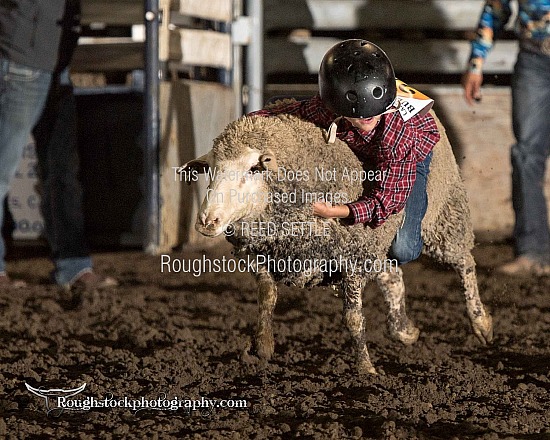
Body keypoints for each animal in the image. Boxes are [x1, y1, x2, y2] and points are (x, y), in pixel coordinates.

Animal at [181, 111, 496, 374]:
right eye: (211, 169)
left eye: (253, 169)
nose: (206, 222)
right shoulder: (261, 254)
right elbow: (267, 298)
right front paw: (263, 346)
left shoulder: (352, 256)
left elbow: (353, 318)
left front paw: (366, 369)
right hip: (381, 240)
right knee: (392, 275)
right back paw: (404, 329)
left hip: (441, 216)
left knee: (463, 262)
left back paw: (481, 322)